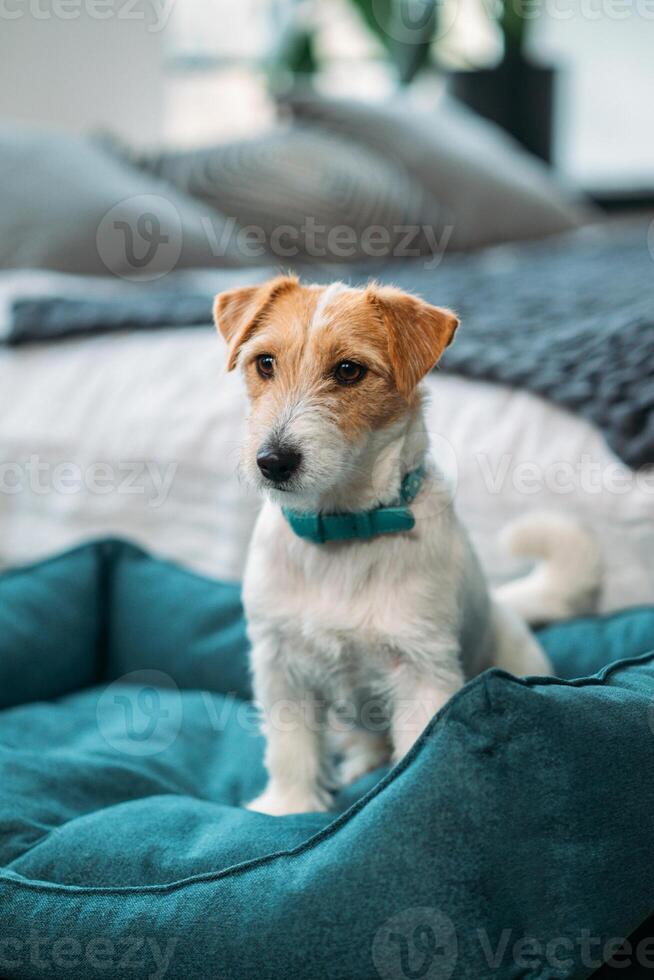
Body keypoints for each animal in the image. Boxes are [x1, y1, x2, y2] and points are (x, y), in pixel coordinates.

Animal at [215, 278, 604, 820]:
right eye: (265, 363)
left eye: (349, 370)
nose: (272, 461)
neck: (344, 530)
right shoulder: (281, 663)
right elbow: (291, 747)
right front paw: (291, 808)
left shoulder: (422, 670)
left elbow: (416, 757)